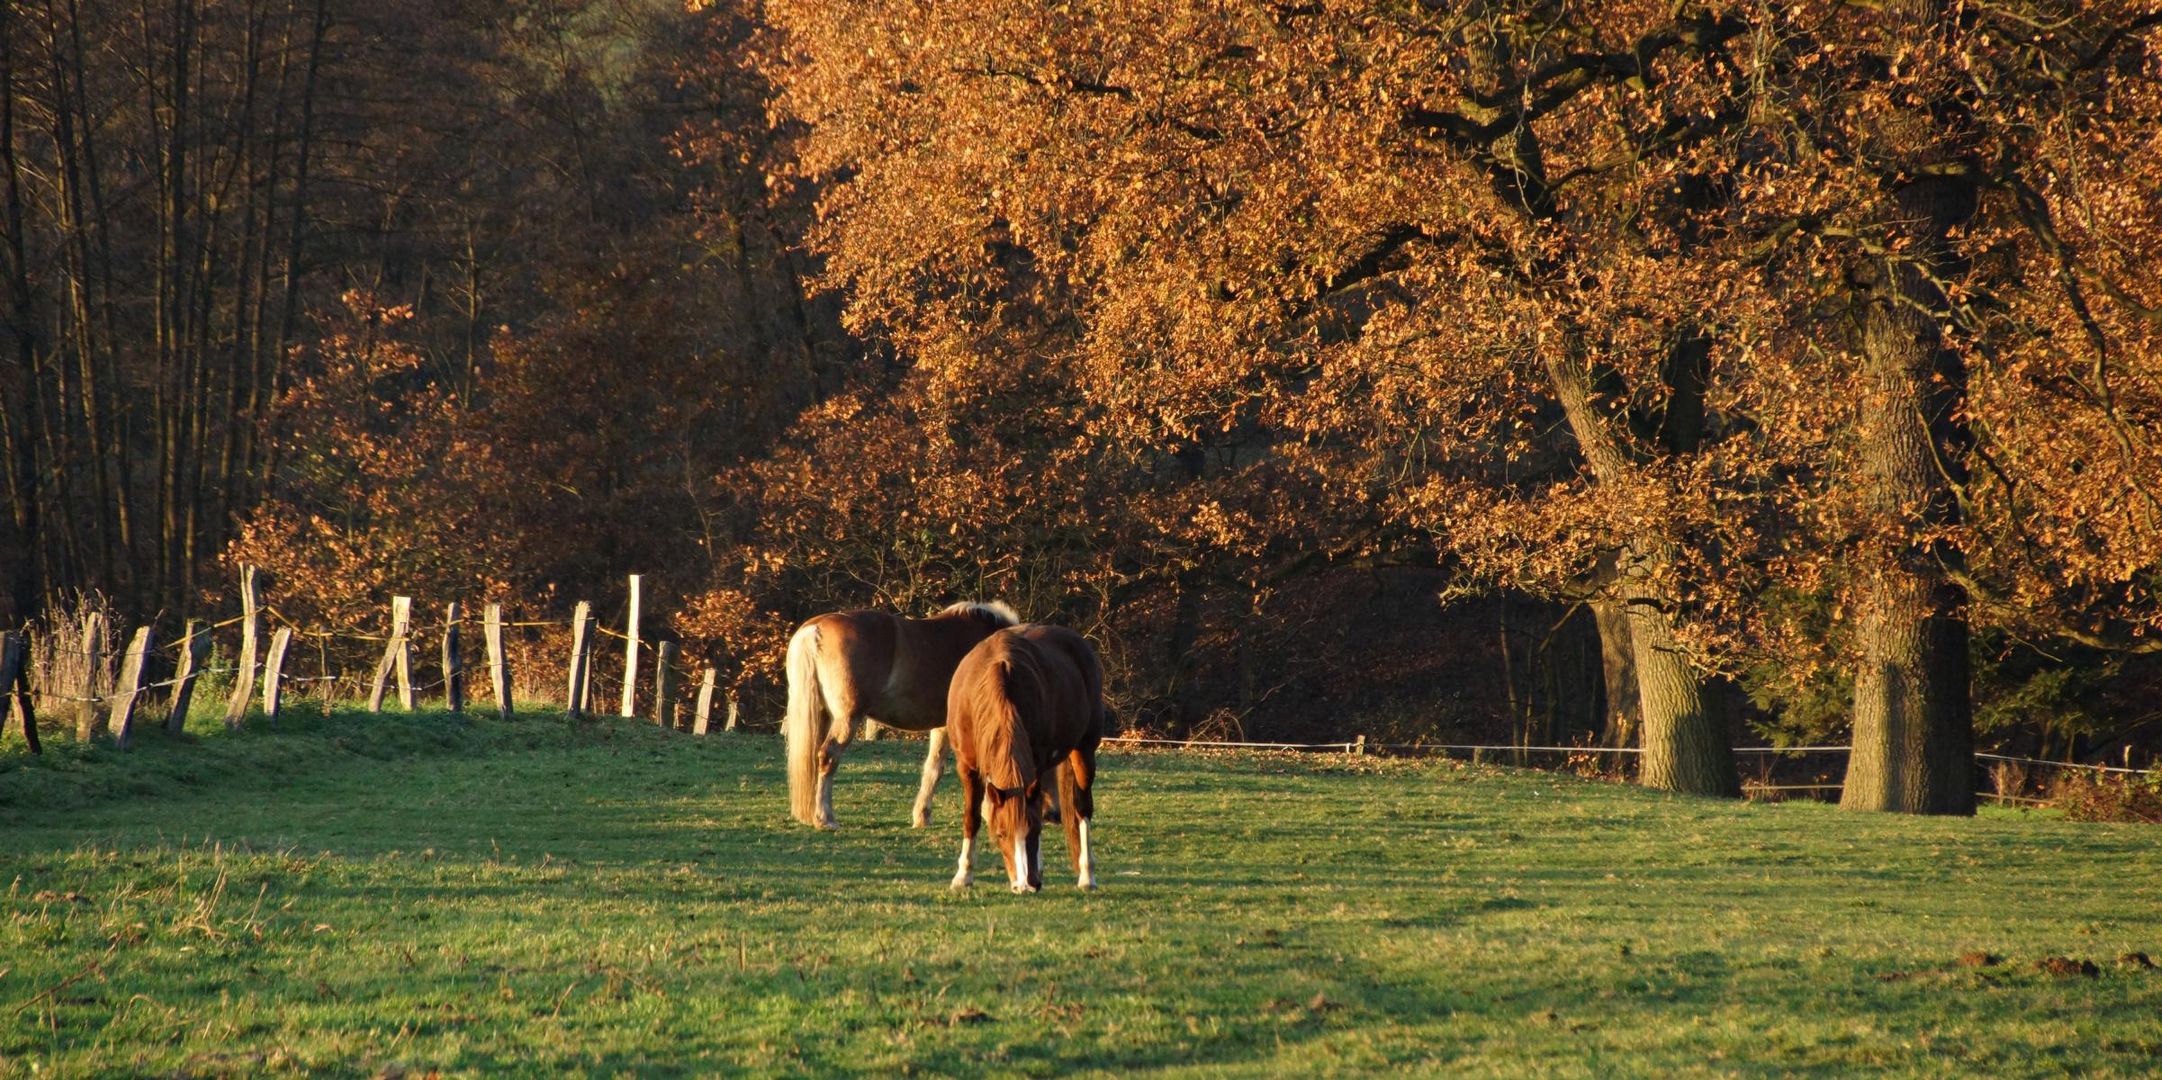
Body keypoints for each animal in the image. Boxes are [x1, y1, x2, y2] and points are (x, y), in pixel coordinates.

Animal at [782, 600, 1016, 825]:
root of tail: (815, 628)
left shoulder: (942, 726)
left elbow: (934, 768)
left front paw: (922, 816)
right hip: (847, 719)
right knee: (828, 757)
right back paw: (825, 818)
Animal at [951, 626, 1106, 894]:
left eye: (1034, 831)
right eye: (1001, 834)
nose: (1027, 884)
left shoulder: (1037, 763)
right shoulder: (967, 766)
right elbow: (972, 816)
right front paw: (963, 875)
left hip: (1084, 750)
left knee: (1082, 808)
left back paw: (1087, 876)